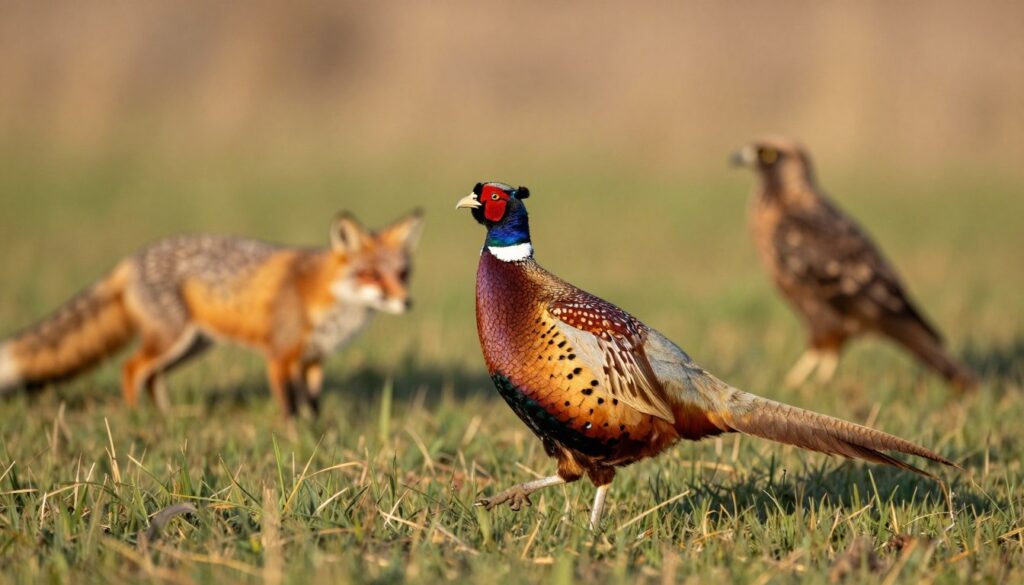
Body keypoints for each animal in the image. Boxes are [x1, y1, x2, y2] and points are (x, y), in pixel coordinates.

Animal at [0, 209, 424, 417]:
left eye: (402, 274)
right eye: (370, 275)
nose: (406, 303)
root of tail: (131, 259)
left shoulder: (314, 360)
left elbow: (313, 405)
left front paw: (318, 434)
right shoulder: (280, 357)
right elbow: (289, 408)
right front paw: (296, 441)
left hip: (192, 346)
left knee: (152, 377)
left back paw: (168, 417)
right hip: (172, 341)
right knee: (131, 369)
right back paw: (138, 420)